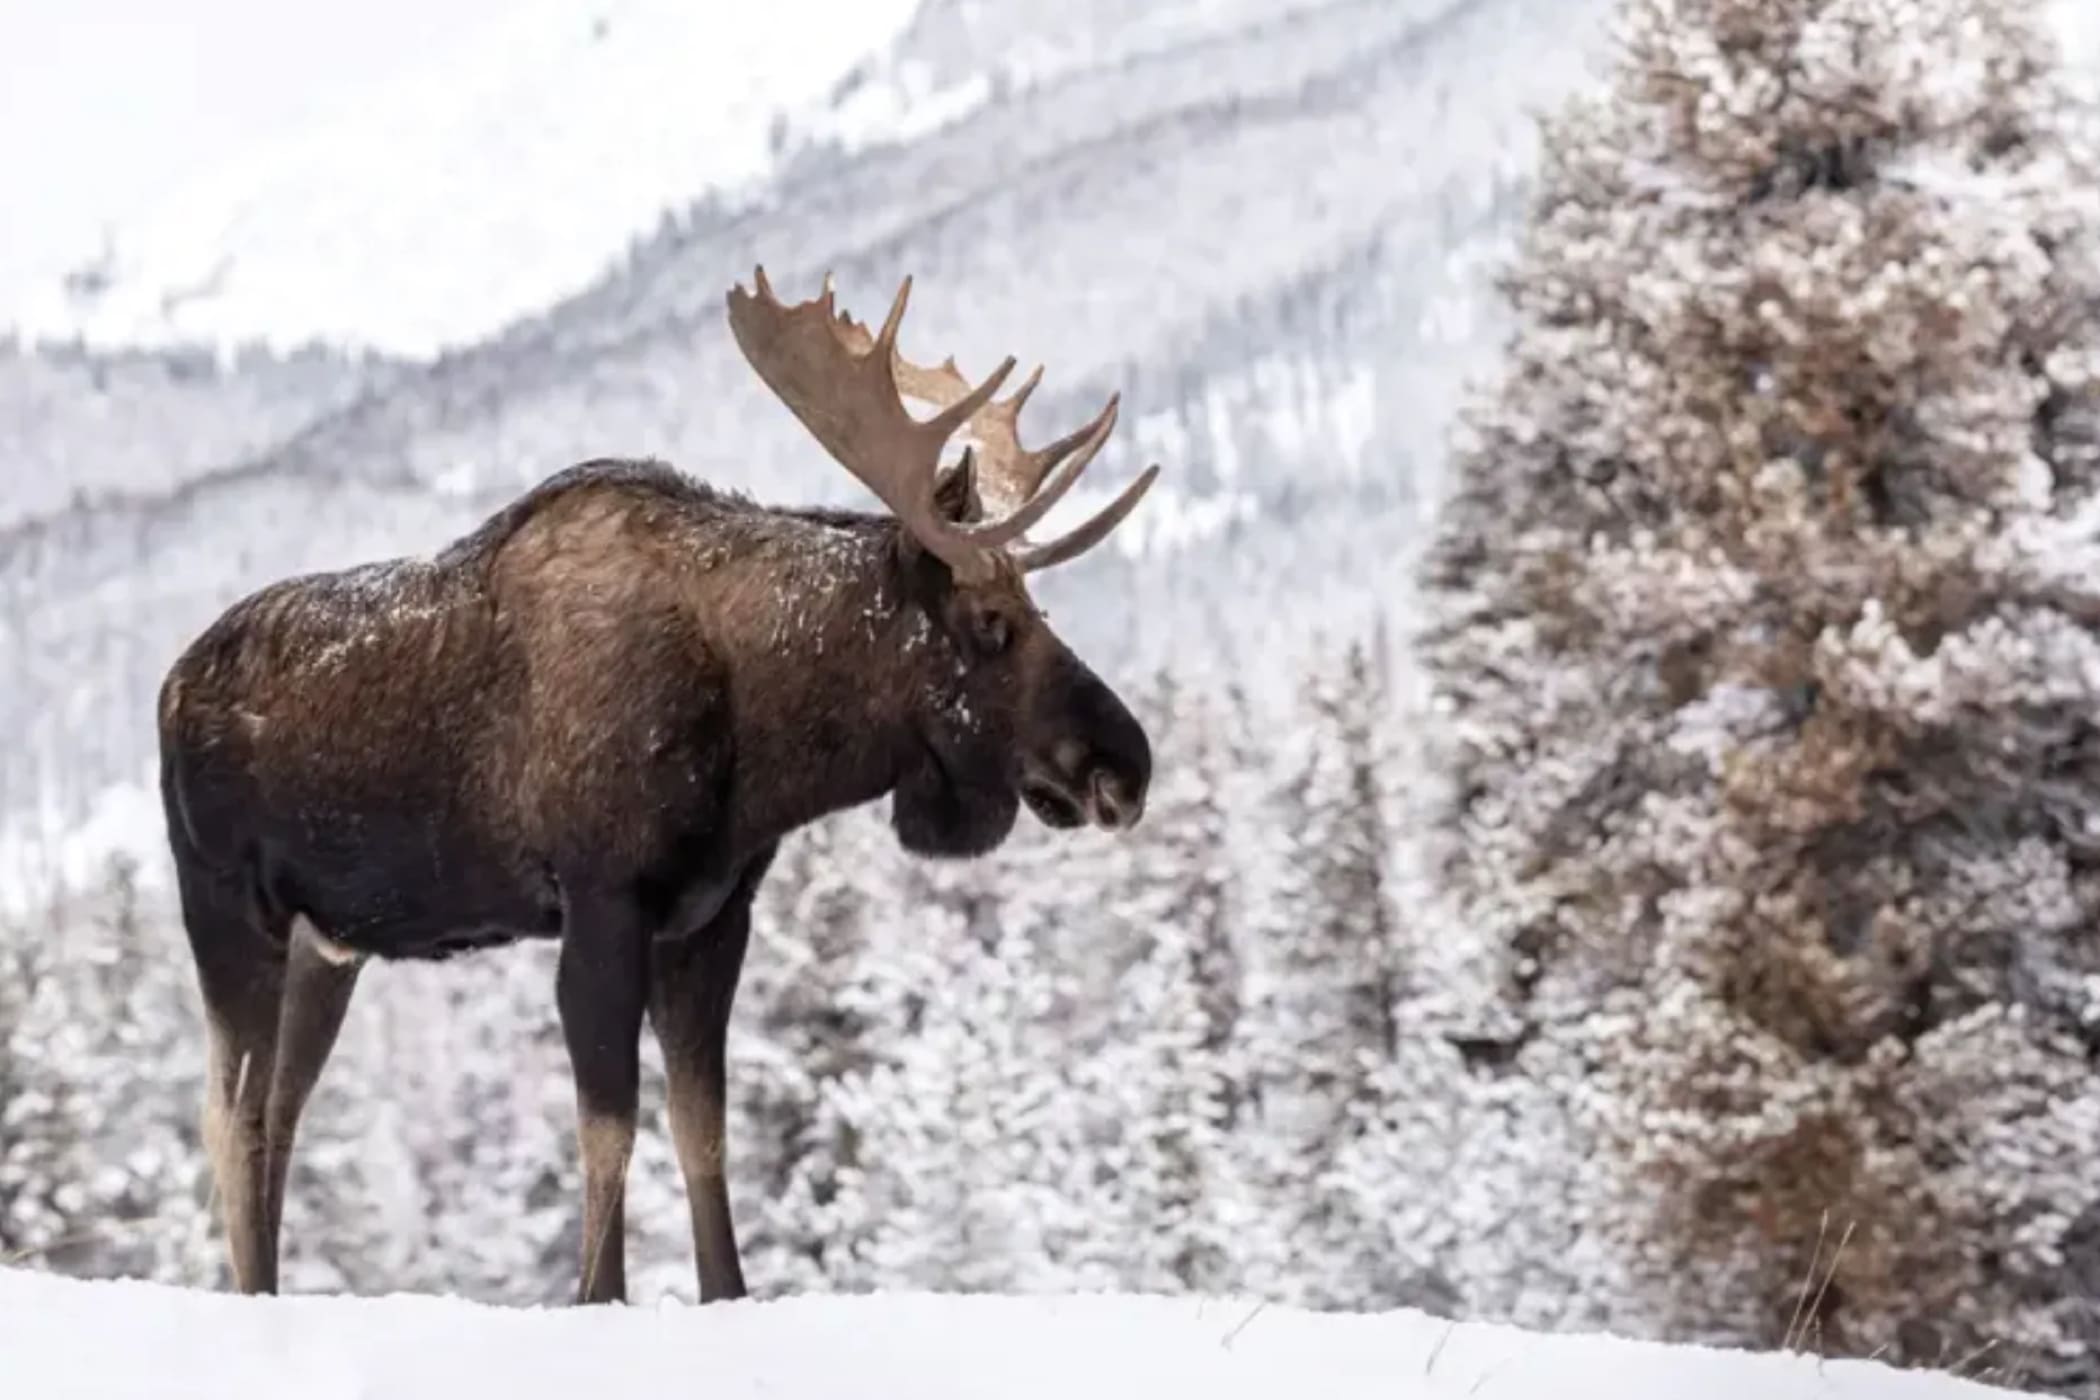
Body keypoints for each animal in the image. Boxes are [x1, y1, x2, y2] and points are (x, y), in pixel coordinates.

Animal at [156, 268, 1161, 1305]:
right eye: (993, 622)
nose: (1125, 763)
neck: (761, 737)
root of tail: (170, 687)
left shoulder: (710, 917)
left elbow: (701, 1127)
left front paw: (724, 1292)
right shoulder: (603, 902)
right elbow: (610, 1130)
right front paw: (599, 1295)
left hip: (330, 945)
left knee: (281, 1112)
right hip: (227, 909)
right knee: (230, 1116)